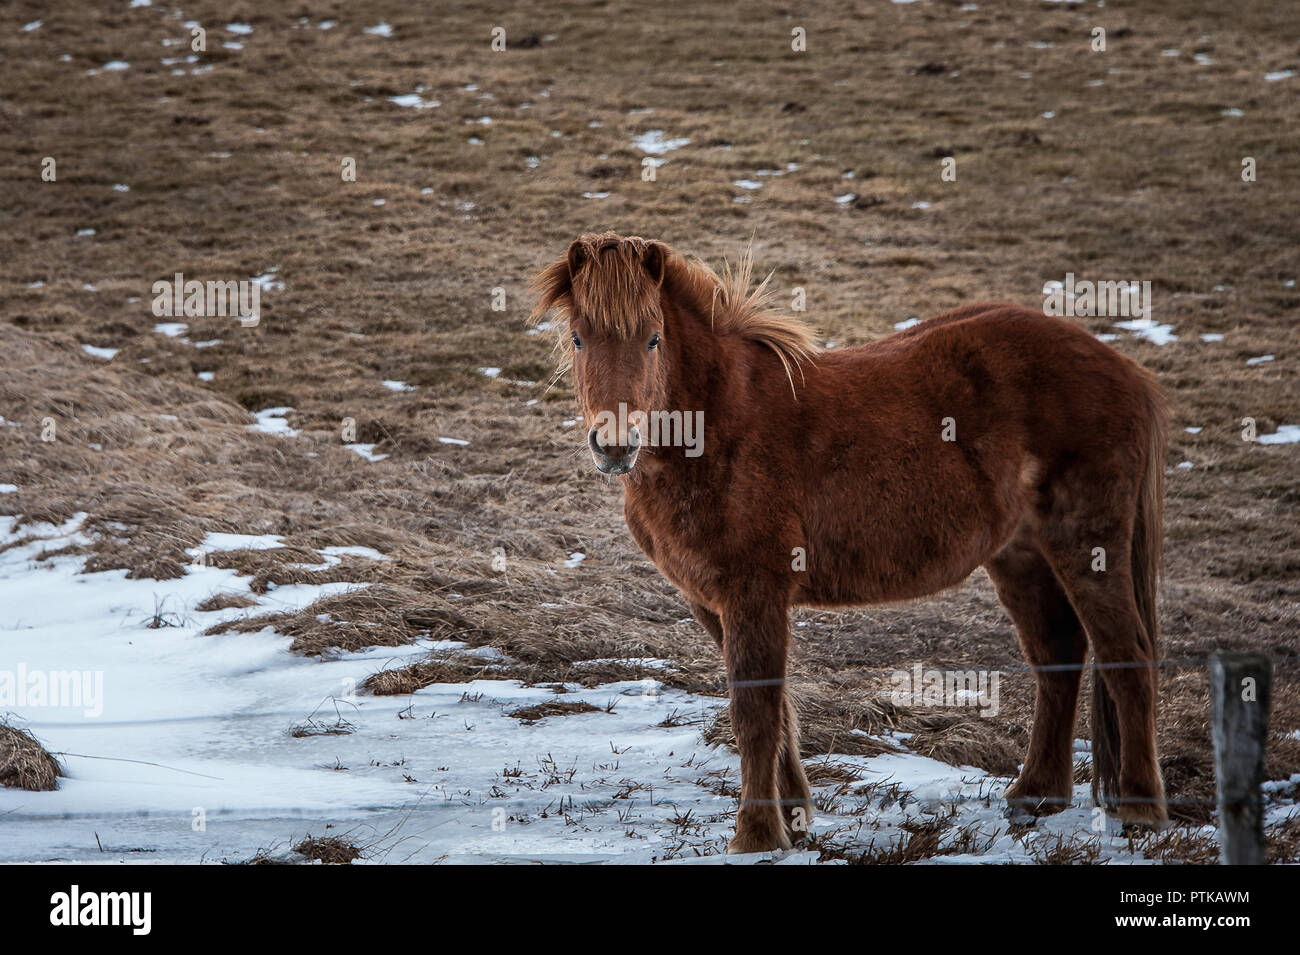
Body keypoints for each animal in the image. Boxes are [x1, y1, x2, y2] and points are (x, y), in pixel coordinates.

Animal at [531, 232, 1168, 854]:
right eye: (579, 337)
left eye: (654, 339)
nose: (615, 444)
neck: (718, 424)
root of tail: (1125, 371)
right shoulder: (709, 599)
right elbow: (778, 711)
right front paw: (792, 820)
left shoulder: (754, 591)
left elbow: (754, 712)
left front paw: (755, 835)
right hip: (1019, 555)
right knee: (1057, 655)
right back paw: (1035, 796)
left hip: (1086, 545)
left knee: (1126, 654)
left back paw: (1139, 811)